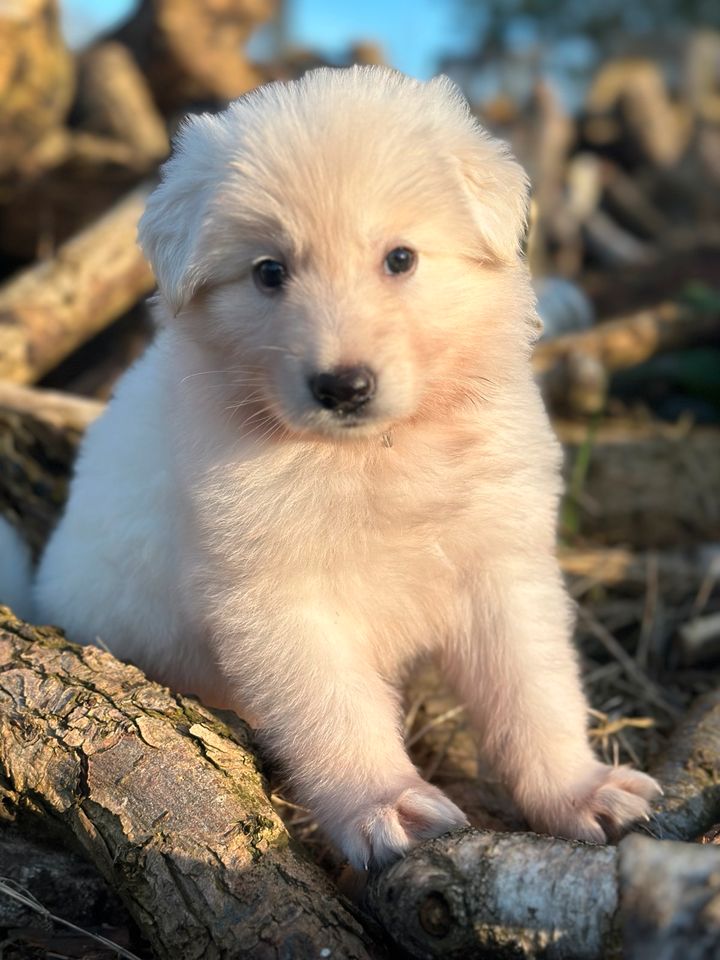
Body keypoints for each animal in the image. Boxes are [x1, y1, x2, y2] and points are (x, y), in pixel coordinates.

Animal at [29, 65, 660, 864]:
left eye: (401, 258)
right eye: (269, 272)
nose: (343, 387)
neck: (373, 457)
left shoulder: (502, 563)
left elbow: (535, 690)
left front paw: (581, 791)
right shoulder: (277, 603)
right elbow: (335, 714)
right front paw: (385, 805)